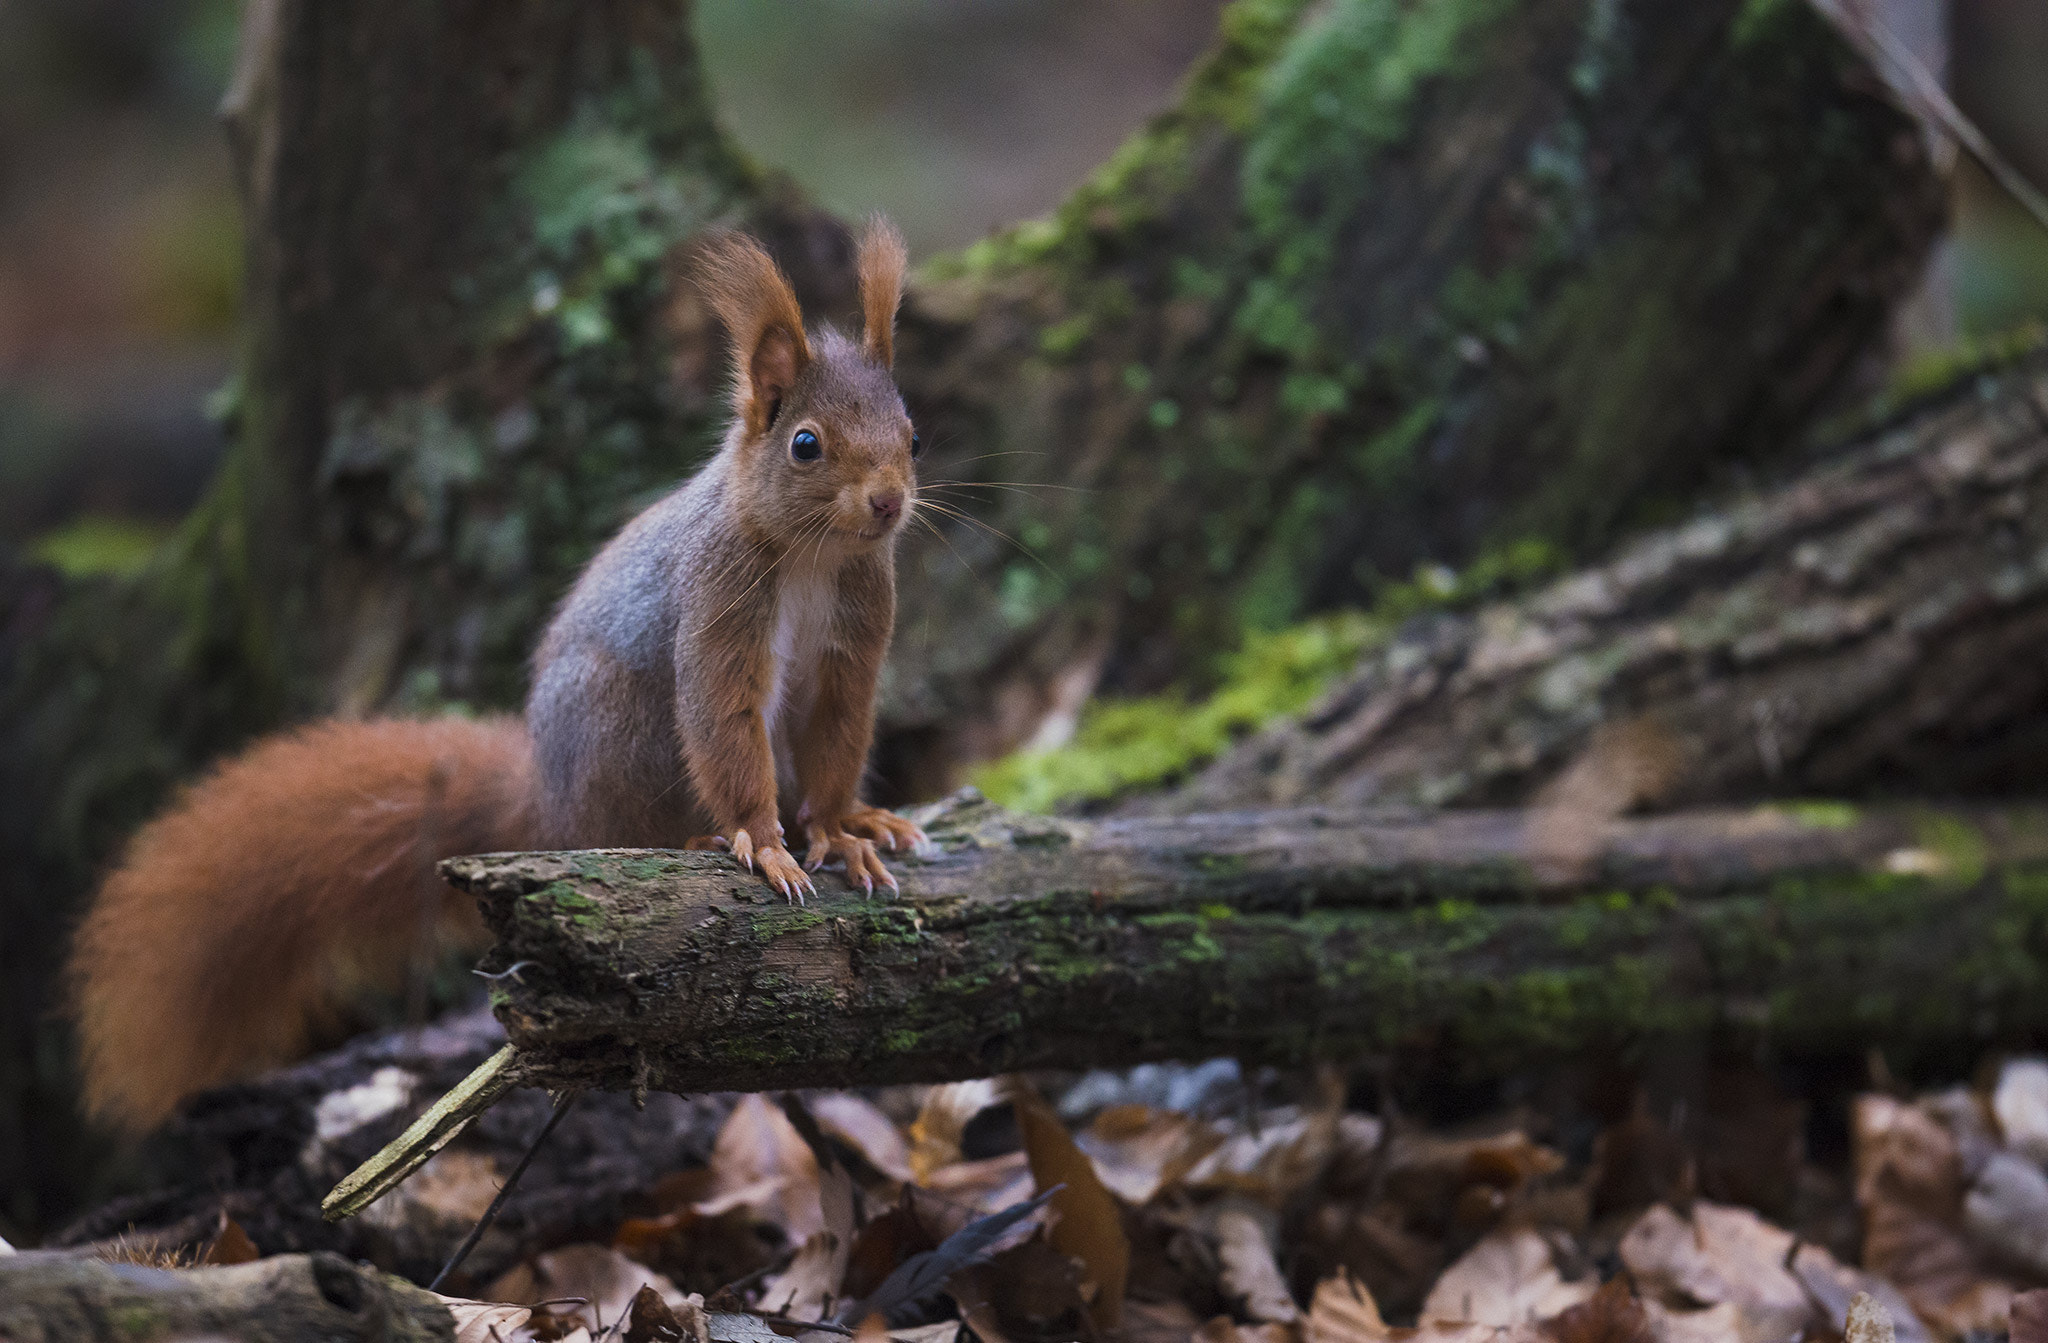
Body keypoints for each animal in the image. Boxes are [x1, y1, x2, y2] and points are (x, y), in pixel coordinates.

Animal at [64, 223, 929, 1130]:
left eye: (915, 436)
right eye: (806, 444)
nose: (887, 504)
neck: (814, 554)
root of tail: (545, 797)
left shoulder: (857, 633)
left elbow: (840, 731)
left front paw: (841, 830)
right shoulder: (717, 599)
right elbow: (723, 719)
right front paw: (764, 842)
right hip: (617, 730)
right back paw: (691, 839)